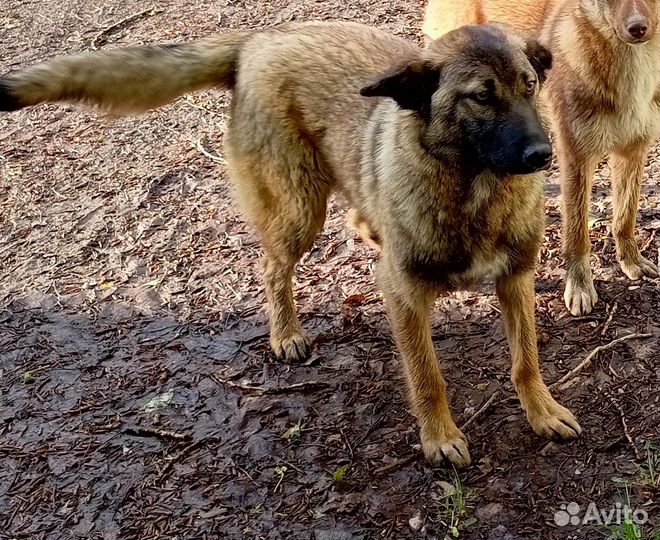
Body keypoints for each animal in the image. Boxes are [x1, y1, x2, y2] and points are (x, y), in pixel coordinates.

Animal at [0, 21, 580, 466]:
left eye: (530, 85)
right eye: (481, 96)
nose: (542, 155)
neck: (473, 190)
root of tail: (259, 39)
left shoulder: (516, 277)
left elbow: (525, 359)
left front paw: (541, 410)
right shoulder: (404, 295)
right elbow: (427, 376)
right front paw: (439, 437)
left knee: (355, 212)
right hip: (298, 211)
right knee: (273, 268)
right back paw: (285, 331)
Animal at [426, 0, 656, 316]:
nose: (638, 28)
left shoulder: (633, 151)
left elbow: (625, 217)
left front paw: (631, 261)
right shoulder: (575, 157)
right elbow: (577, 233)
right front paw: (580, 287)